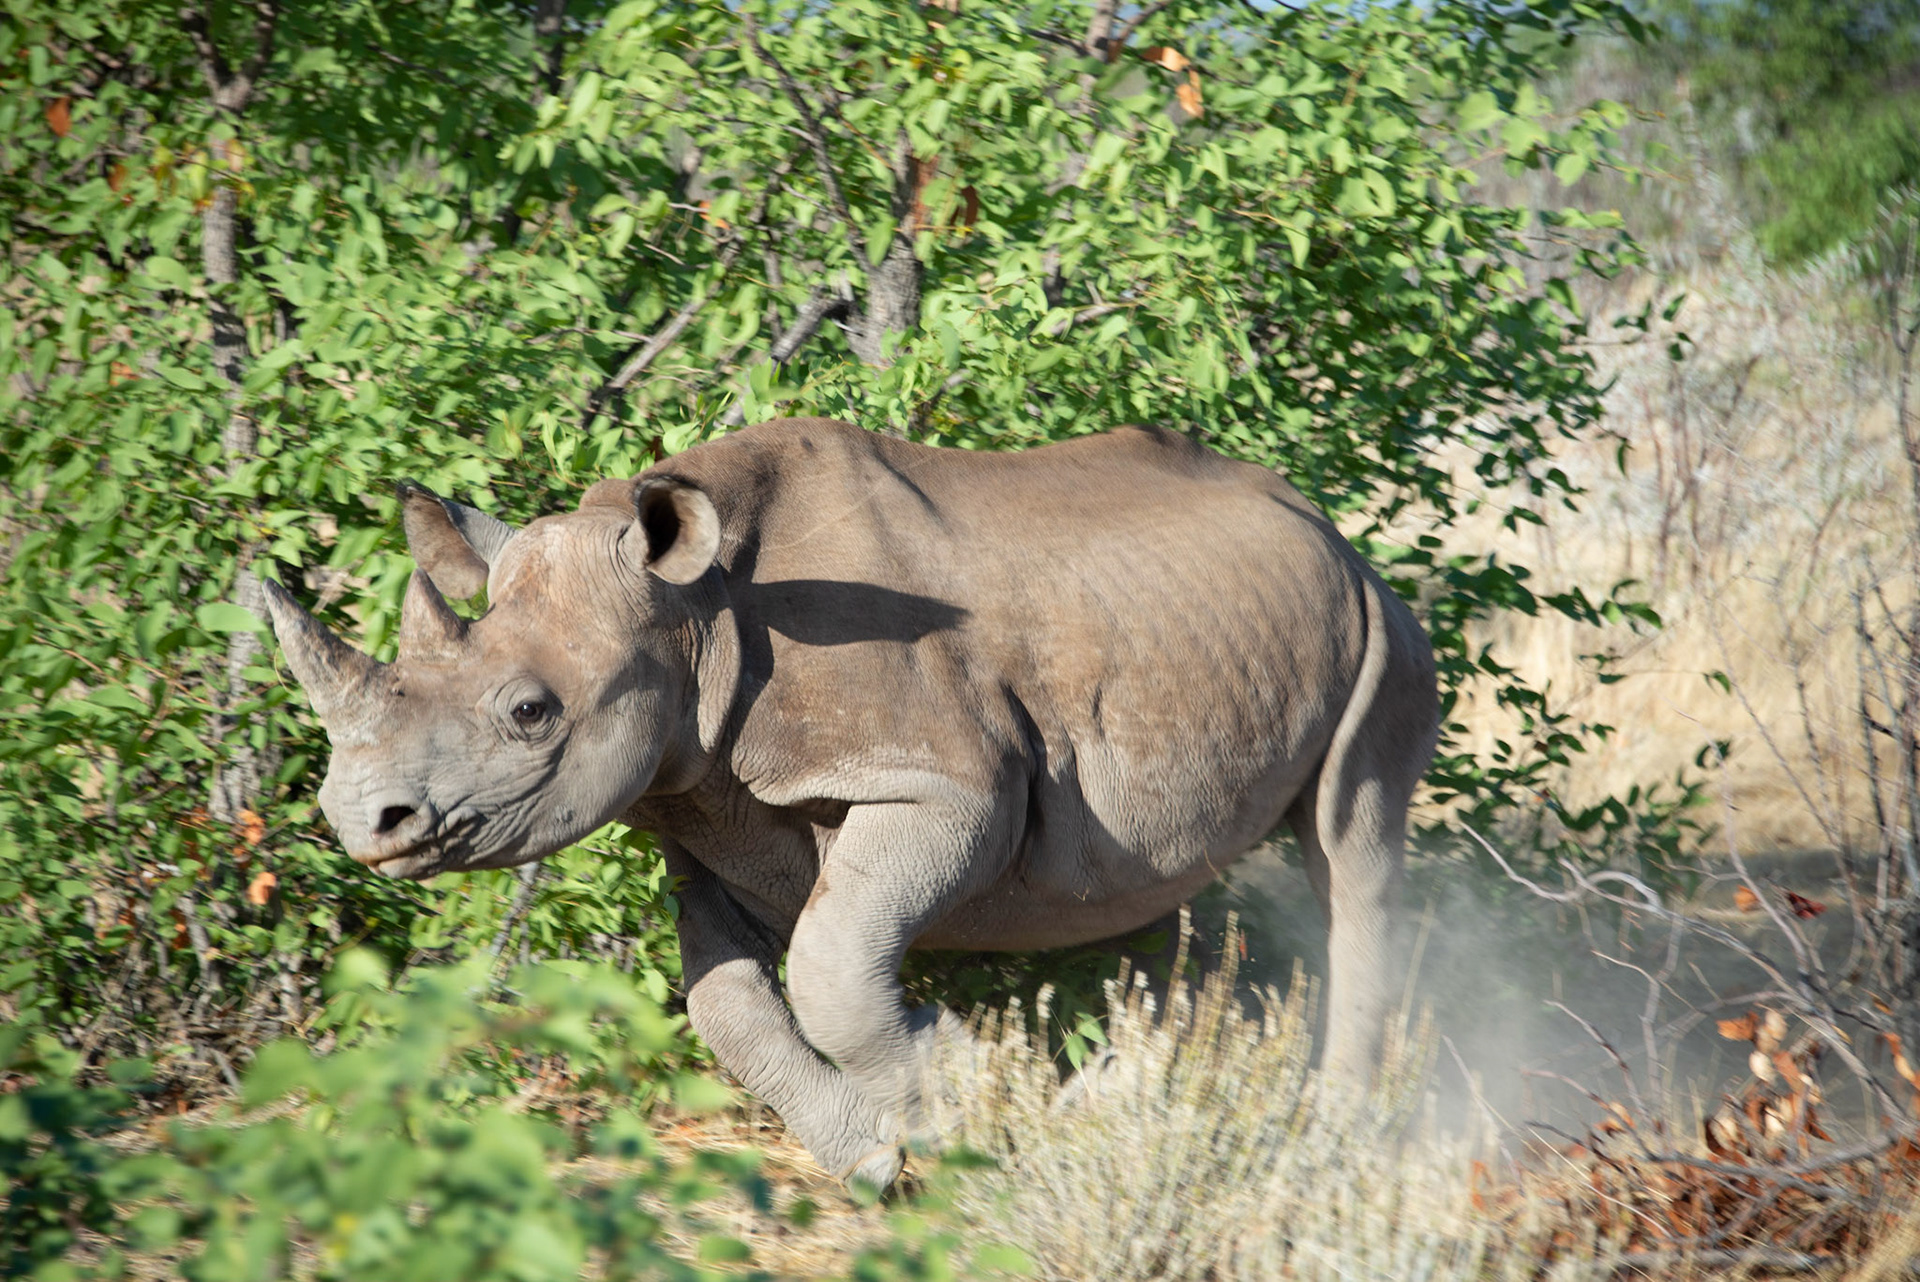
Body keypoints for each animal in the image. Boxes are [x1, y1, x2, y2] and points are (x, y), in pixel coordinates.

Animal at [263, 417, 1439, 1190]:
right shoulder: (707, 812)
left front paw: (988, 1085)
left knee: (1352, 843)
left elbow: (829, 965)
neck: (693, 613)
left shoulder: (941, 783)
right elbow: (726, 1003)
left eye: (528, 712)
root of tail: (1325, 523)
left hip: (1382, 622)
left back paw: (1333, 1141)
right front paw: (878, 1157)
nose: (363, 823)